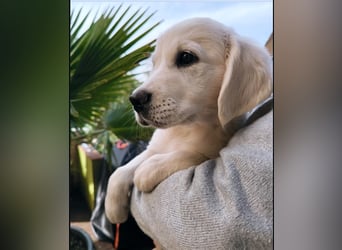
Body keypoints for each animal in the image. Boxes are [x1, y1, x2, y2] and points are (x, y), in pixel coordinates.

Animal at [104, 18, 272, 224]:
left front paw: (150, 169)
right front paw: (113, 208)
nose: (135, 100)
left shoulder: (212, 151)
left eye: (186, 58)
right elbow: (123, 169)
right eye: (155, 64)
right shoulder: (154, 147)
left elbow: (192, 153)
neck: (185, 128)